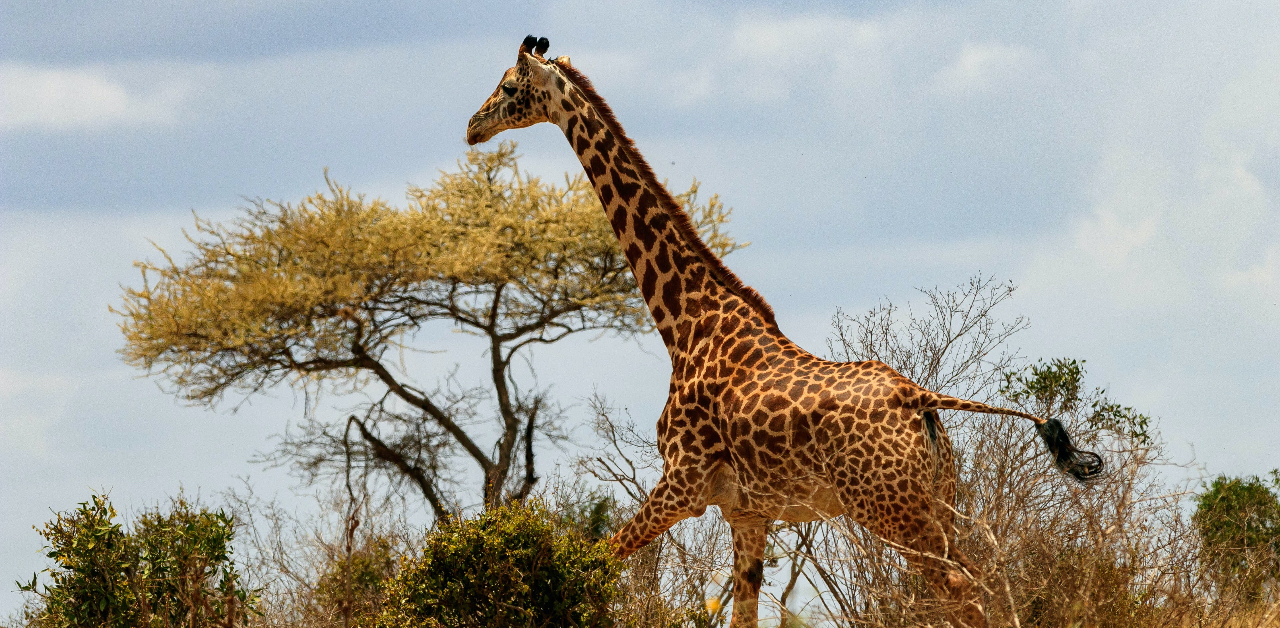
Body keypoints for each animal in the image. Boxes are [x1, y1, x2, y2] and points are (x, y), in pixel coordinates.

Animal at [465, 38, 1105, 628]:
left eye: (509, 86)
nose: (472, 126)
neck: (685, 323)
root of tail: (919, 397)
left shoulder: (682, 484)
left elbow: (592, 560)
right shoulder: (748, 514)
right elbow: (741, 613)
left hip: (892, 510)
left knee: (968, 592)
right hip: (937, 501)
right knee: (984, 584)